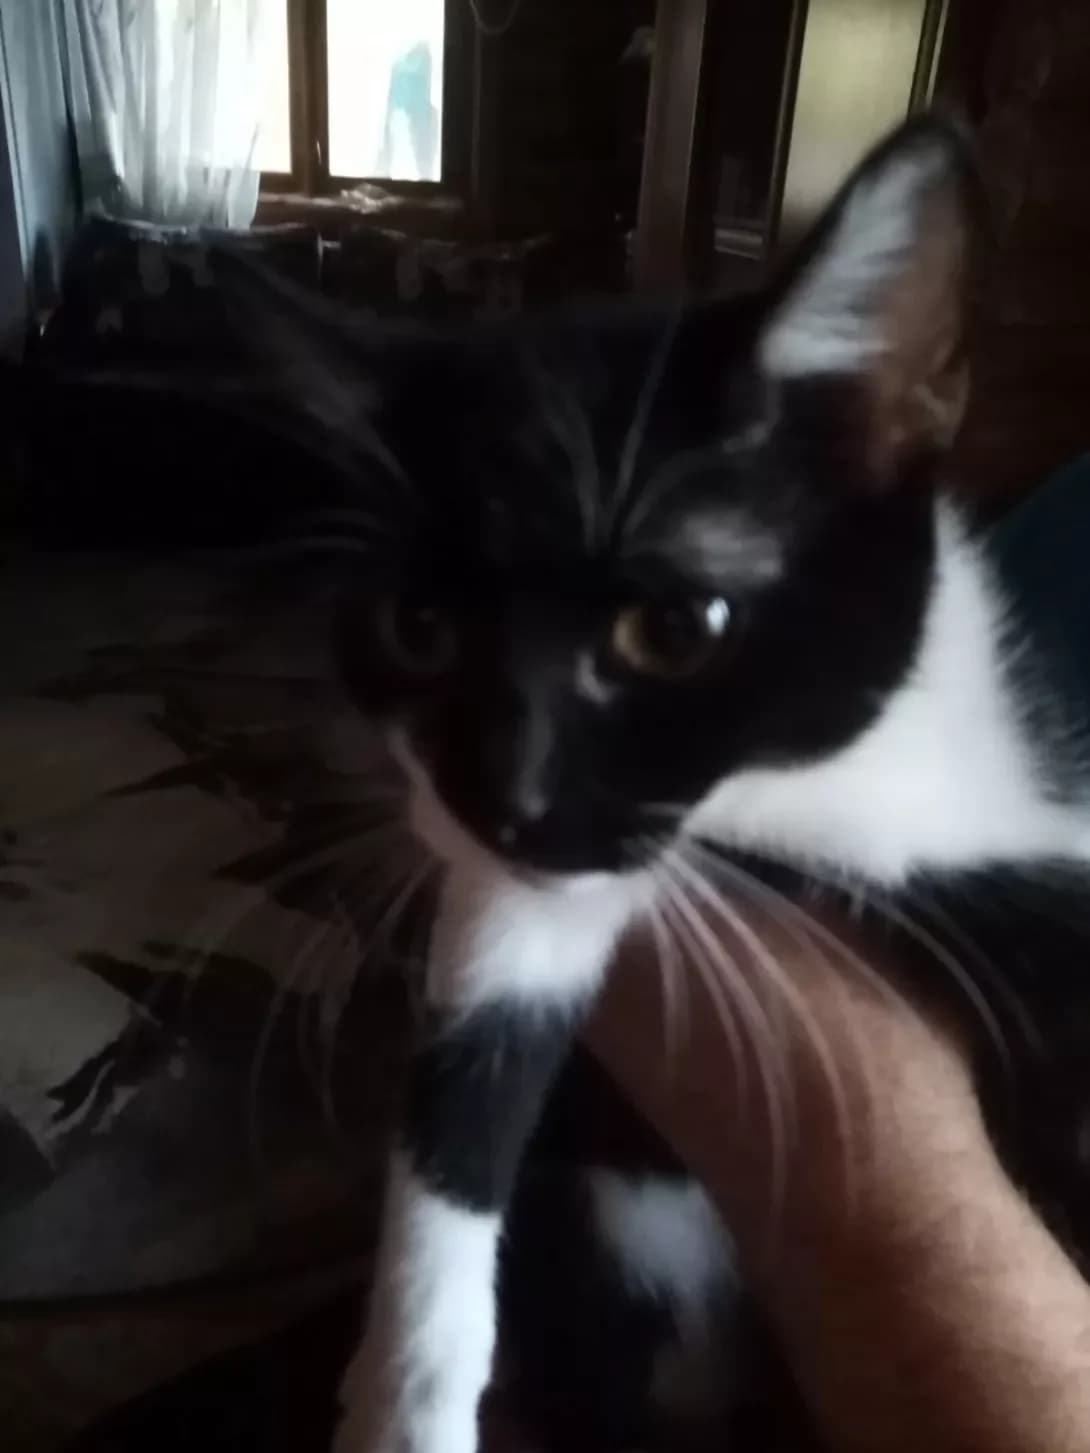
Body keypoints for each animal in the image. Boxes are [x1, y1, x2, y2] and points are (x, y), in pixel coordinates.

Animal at [222, 116, 1090, 1452]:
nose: (508, 799)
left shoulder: (983, 811)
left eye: (672, 630)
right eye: (418, 630)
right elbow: (465, 1082)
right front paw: (405, 1397)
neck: (764, 801)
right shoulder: (525, 876)